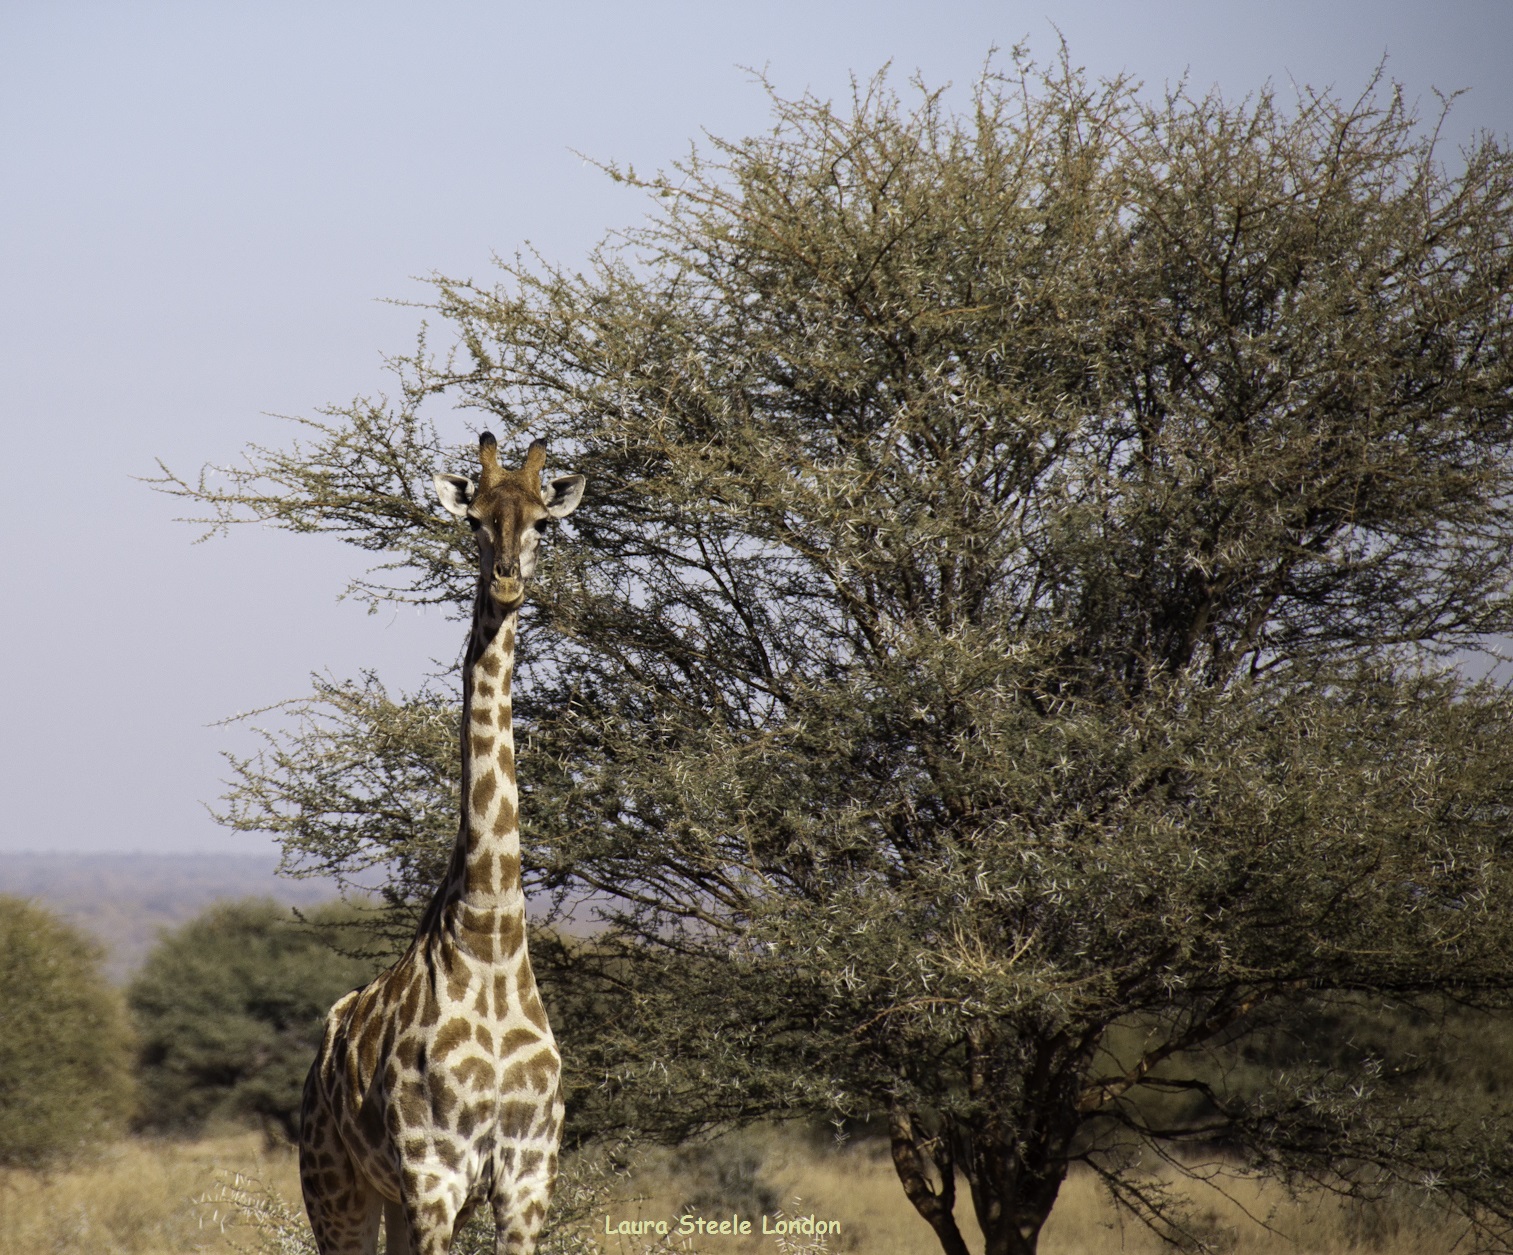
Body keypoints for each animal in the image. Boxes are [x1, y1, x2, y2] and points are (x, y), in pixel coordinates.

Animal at [299, 433, 585, 1255]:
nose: (509, 581)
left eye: (542, 523)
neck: (490, 939)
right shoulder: (435, 1178)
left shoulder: (526, 1183)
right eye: (474, 520)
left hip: (387, 1199)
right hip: (338, 1190)